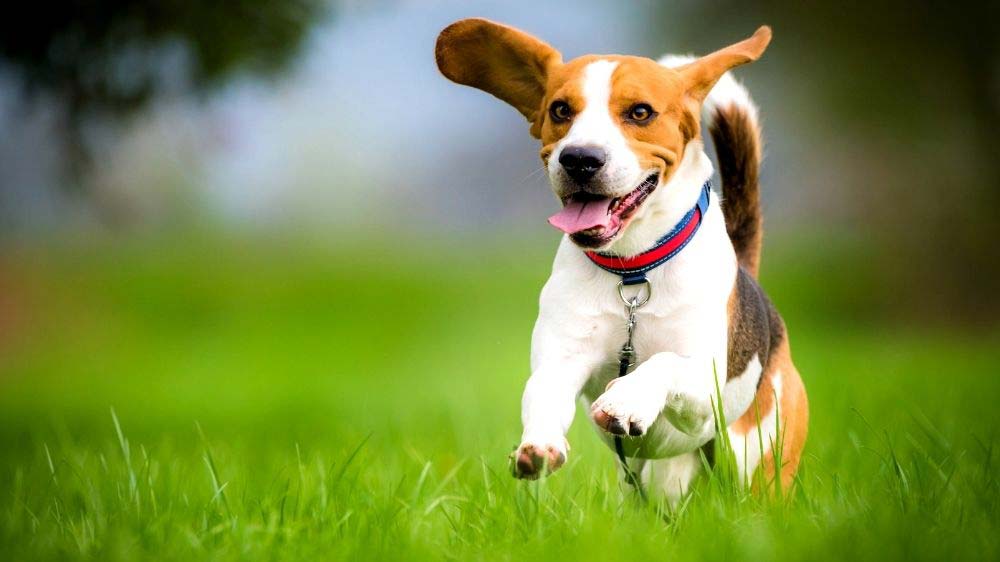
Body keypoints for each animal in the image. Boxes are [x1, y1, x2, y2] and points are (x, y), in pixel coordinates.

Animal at [434, 18, 808, 498]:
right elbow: (544, 392)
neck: (632, 273)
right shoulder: (563, 357)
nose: (580, 158)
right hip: (657, 482)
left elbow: (665, 363)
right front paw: (539, 444)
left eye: (640, 113)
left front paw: (625, 399)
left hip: (757, 459)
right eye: (560, 110)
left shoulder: (704, 392)